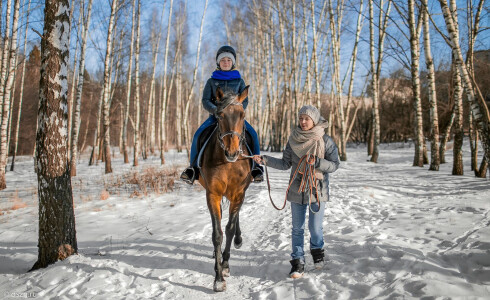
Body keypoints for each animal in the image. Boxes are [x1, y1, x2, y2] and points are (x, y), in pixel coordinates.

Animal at [197, 84, 253, 290]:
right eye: (220, 115)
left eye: (242, 114)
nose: (232, 152)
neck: (228, 163)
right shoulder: (212, 194)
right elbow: (217, 234)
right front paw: (218, 276)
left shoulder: (239, 194)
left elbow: (229, 228)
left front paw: (226, 265)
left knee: (234, 219)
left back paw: (237, 239)